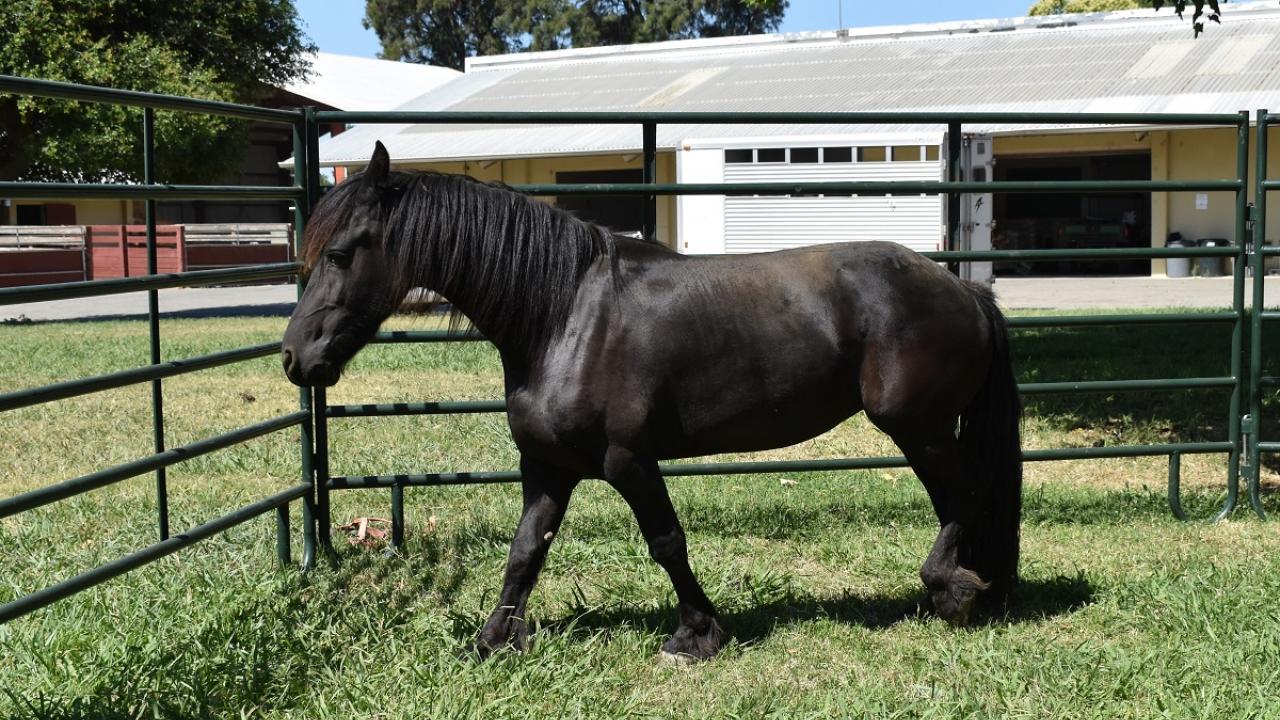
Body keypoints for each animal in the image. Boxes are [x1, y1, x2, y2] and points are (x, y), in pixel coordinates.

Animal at [280, 141, 1018, 661]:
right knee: (959, 498)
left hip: (916, 425)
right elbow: (525, 552)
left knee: (967, 492)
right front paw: (492, 640)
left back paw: (950, 589)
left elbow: (666, 541)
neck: (564, 316)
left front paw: (697, 634)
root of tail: (964, 291)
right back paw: (966, 587)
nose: (294, 358)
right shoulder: (547, 468)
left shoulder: (627, 460)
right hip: (923, 429)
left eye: (341, 253)